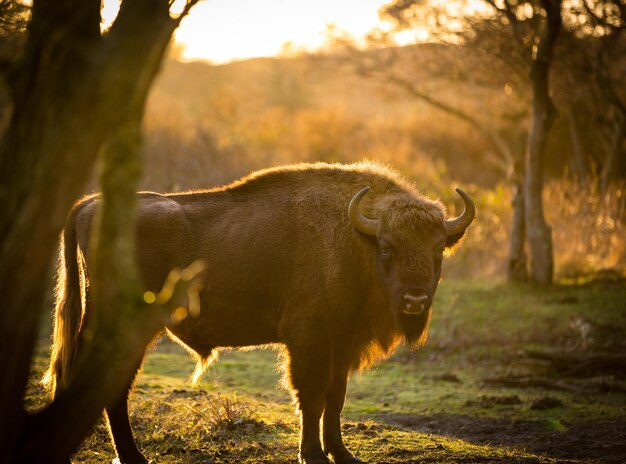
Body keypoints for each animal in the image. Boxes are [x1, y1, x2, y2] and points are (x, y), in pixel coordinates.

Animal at [44, 161, 472, 462]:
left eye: (438, 250)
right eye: (387, 248)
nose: (415, 301)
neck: (355, 237)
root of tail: (90, 205)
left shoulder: (342, 344)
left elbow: (336, 398)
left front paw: (343, 454)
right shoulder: (309, 341)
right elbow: (311, 397)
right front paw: (312, 455)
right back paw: (131, 457)